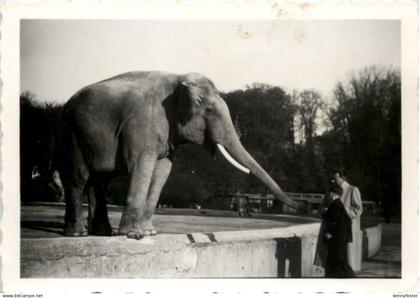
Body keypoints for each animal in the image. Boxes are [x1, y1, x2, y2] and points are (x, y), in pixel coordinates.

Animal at [59, 71, 302, 239]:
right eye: (210, 111)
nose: (301, 204)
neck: (177, 78)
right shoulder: (142, 125)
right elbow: (142, 165)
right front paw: (133, 235)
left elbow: (163, 170)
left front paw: (149, 232)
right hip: (71, 133)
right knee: (79, 178)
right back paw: (78, 233)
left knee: (99, 181)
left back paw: (101, 232)